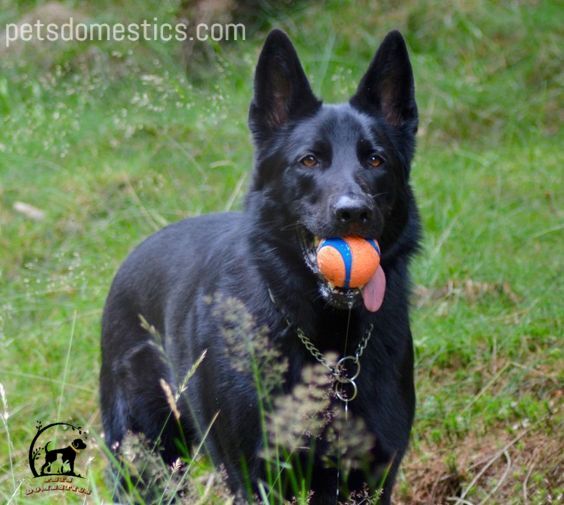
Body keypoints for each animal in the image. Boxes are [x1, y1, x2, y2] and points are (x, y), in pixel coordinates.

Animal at [100, 29, 418, 502]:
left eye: (375, 160)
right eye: (309, 160)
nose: (353, 213)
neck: (330, 346)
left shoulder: (373, 478)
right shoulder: (256, 478)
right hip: (146, 466)